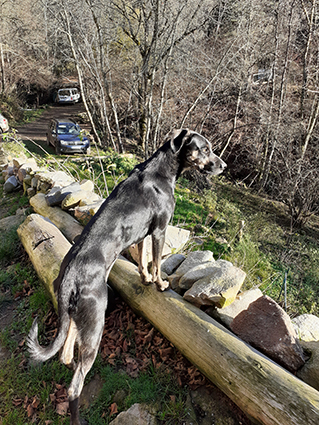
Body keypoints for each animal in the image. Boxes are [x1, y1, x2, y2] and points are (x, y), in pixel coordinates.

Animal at [28, 127, 228, 422]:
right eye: (205, 149)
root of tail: (69, 278)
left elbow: (143, 260)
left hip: (77, 317)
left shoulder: (143, 233)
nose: (223, 166)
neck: (162, 170)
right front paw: (160, 284)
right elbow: (156, 262)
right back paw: (78, 417)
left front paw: (145, 279)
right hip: (95, 321)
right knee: (75, 384)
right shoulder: (159, 230)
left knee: (65, 354)